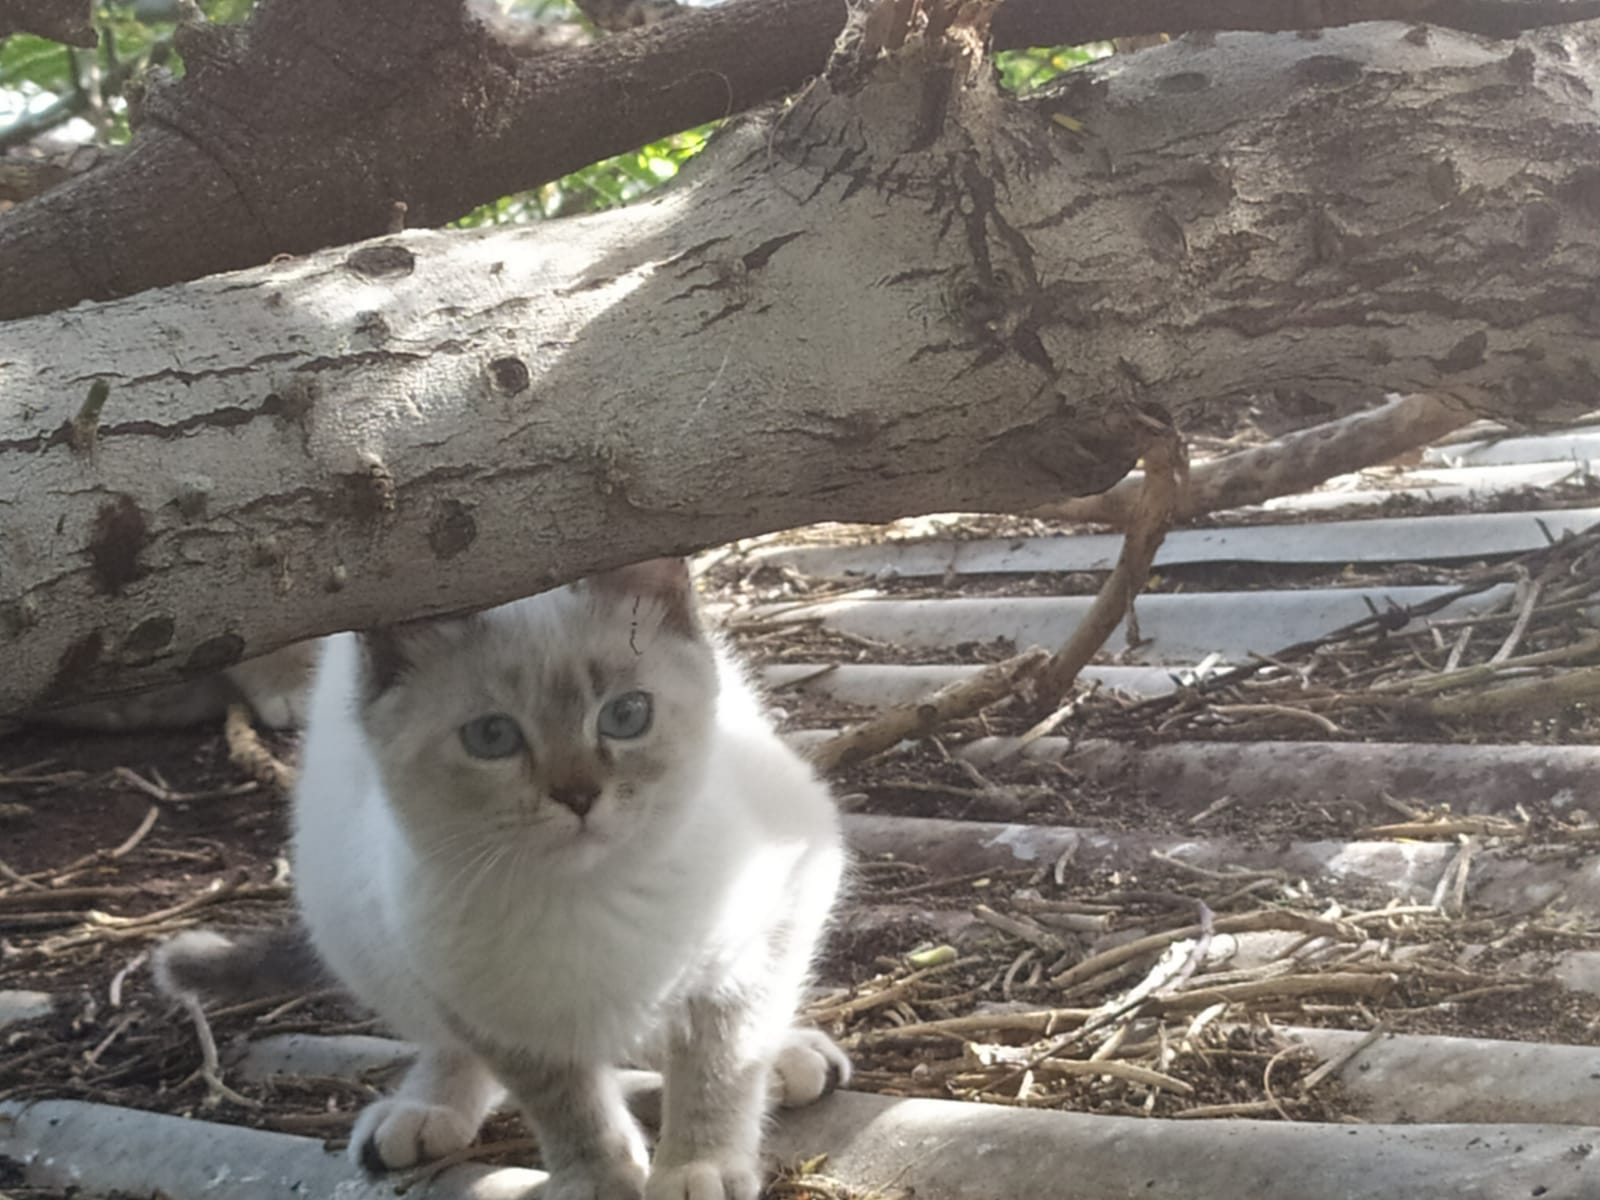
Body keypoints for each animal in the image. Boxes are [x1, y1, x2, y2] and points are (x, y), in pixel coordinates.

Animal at [154, 563, 844, 1200]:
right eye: (492, 737)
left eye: (626, 715)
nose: (578, 796)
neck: (591, 898)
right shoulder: (495, 1011)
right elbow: (564, 1103)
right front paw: (597, 1178)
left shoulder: (780, 909)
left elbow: (718, 1063)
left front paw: (699, 1166)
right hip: (358, 925)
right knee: (449, 1044)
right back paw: (423, 1111)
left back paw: (789, 1058)